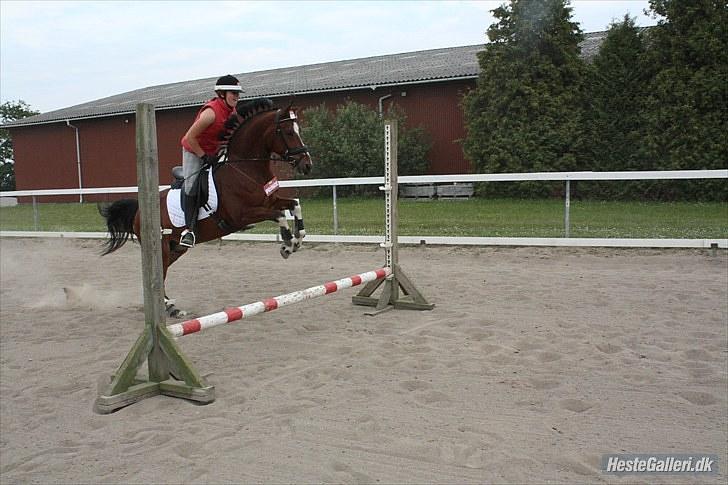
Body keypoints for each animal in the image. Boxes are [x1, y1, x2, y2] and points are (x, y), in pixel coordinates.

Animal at [98, 98, 313, 317]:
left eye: (299, 129)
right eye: (289, 132)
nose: (307, 165)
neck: (244, 168)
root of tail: (140, 210)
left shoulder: (270, 201)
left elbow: (295, 205)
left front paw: (297, 240)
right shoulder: (242, 215)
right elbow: (279, 215)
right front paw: (287, 245)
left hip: (176, 247)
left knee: (164, 270)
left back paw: (169, 306)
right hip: (161, 245)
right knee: (160, 271)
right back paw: (167, 305)